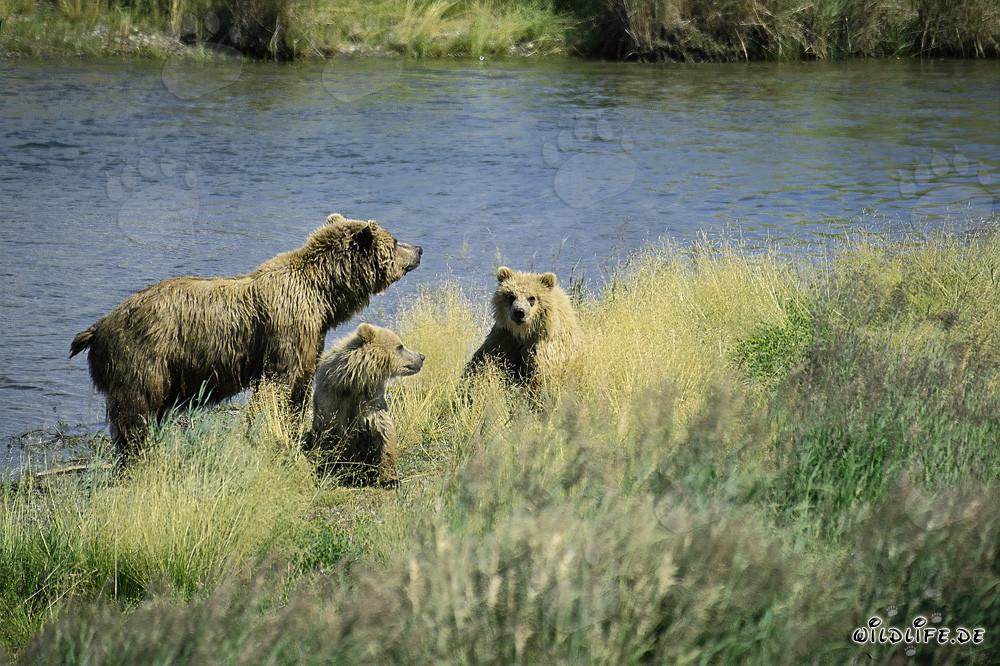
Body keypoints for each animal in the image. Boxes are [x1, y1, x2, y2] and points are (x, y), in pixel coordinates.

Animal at [69, 213, 422, 465]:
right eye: (395, 240)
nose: (419, 249)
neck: (323, 296)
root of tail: (99, 326)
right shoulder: (285, 331)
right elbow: (276, 386)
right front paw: (271, 435)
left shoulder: (310, 340)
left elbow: (298, 388)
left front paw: (291, 431)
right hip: (143, 356)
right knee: (136, 411)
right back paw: (138, 453)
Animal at [306, 323, 424, 487]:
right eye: (400, 346)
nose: (421, 357)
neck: (353, 381)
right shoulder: (332, 398)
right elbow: (328, 431)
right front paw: (326, 469)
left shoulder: (370, 398)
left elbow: (382, 428)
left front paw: (389, 476)